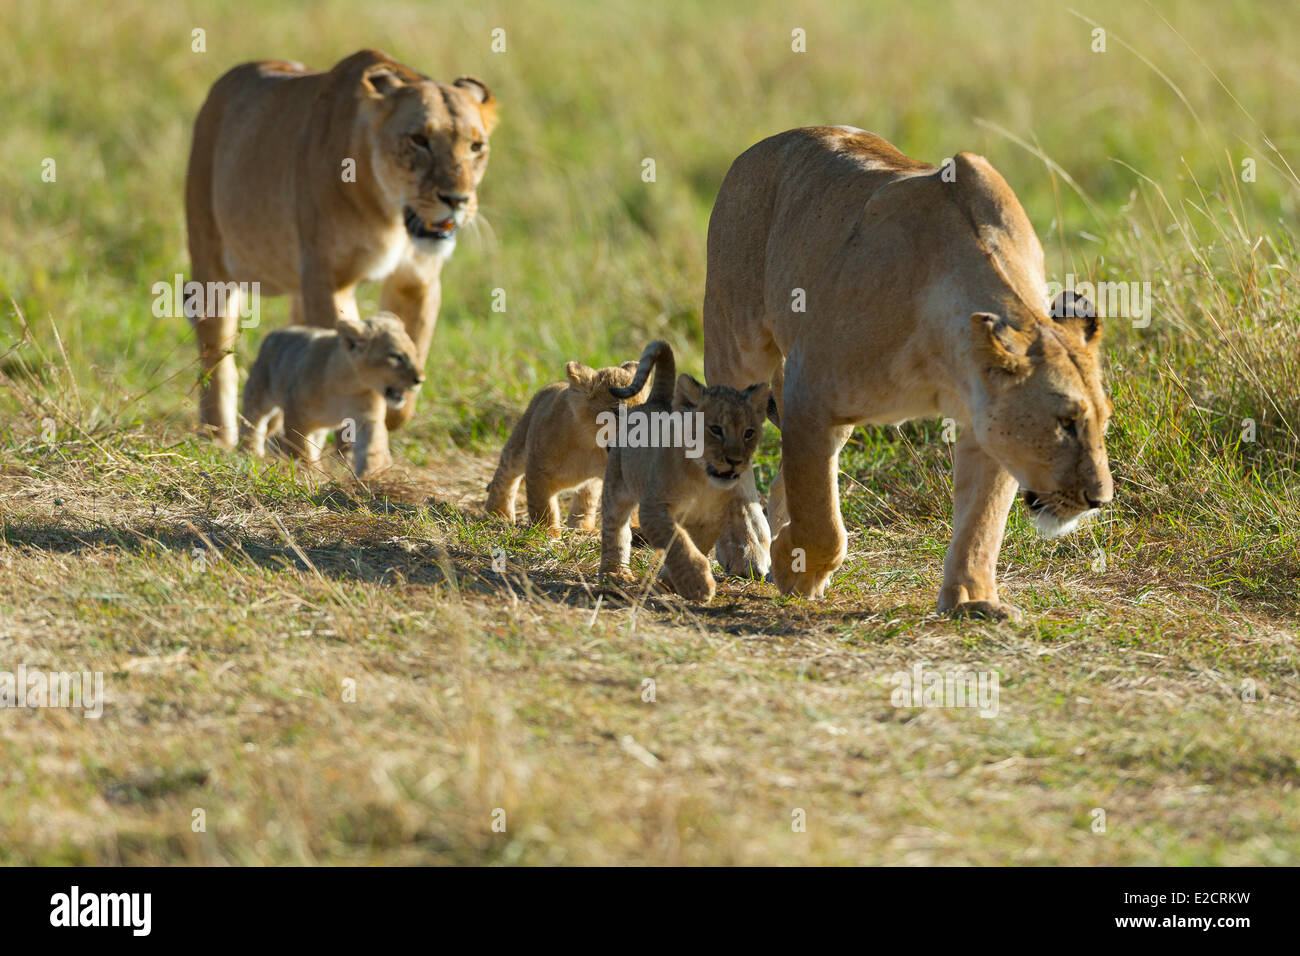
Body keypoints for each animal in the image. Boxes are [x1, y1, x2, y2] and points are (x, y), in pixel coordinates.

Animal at [186, 49, 498, 448]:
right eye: (419, 140)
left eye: (476, 147)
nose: (457, 200)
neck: (389, 214)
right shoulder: (329, 279)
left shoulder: (416, 280)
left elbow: (412, 347)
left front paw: (390, 407)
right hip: (210, 254)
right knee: (216, 348)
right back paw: (217, 437)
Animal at [241, 312, 423, 479]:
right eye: (396, 357)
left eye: (415, 353)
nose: (420, 380)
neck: (349, 384)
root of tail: (275, 333)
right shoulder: (296, 414)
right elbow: (301, 448)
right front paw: (309, 474)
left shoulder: (368, 418)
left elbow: (372, 447)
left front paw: (371, 476)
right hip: (259, 394)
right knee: (252, 422)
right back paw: (251, 454)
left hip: (319, 427)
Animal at [484, 359, 649, 534]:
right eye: (617, 411)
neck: (591, 446)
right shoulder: (538, 471)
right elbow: (544, 507)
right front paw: (547, 531)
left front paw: (638, 528)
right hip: (517, 445)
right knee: (504, 476)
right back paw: (498, 514)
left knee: (586, 500)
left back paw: (584, 527)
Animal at [600, 340, 771, 603]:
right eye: (715, 429)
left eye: (749, 433)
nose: (735, 461)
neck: (702, 479)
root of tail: (657, 402)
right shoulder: (654, 508)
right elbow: (677, 542)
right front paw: (697, 585)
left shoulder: (709, 519)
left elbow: (694, 545)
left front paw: (669, 581)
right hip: (618, 484)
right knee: (615, 528)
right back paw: (614, 573)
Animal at [702, 127, 1114, 621]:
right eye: (1065, 423)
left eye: (1103, 422)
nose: (1099, 499)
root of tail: (765, 144)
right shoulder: (810, 388)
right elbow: (822, 516)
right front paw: (797, 569)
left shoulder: (986, 420)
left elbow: (982, 520)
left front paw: (973, 600)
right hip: (736, 338)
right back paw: (746, 546)